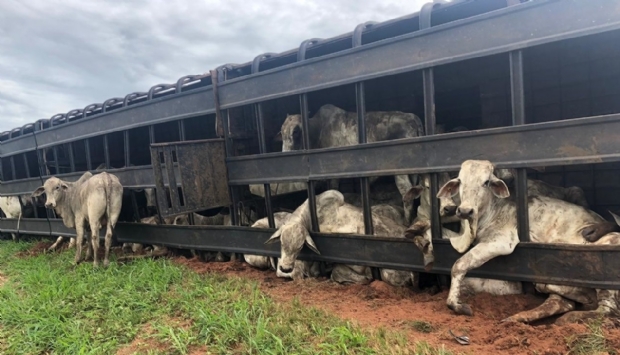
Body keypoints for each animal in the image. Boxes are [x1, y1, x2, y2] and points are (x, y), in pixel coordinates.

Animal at [416, 161, 620, 326]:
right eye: (460, 181)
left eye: (486, 182)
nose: (465, 210)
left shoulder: (501, 240)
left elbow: (459, 264)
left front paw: (456, 305)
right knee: (560, 302)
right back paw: (517, 316)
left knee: (606, 310)